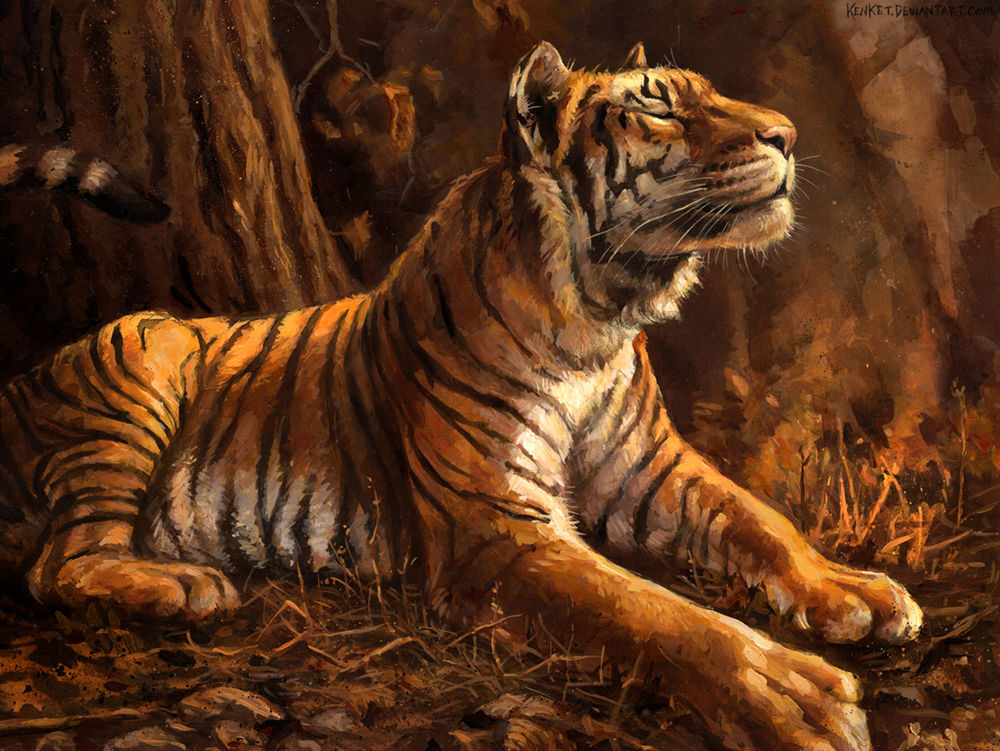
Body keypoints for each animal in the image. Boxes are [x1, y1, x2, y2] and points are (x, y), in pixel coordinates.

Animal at [0, 42, 922, 751]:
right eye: (658, 109)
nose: (789, 133)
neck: (598, 314)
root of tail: (13, 381)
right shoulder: (495, 529)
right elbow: (662, 614)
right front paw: (800, 697)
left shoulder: (650, 469)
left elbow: (762, 521)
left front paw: (858, 591)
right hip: (143, 363)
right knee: (61, 563)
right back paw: (185, 585)